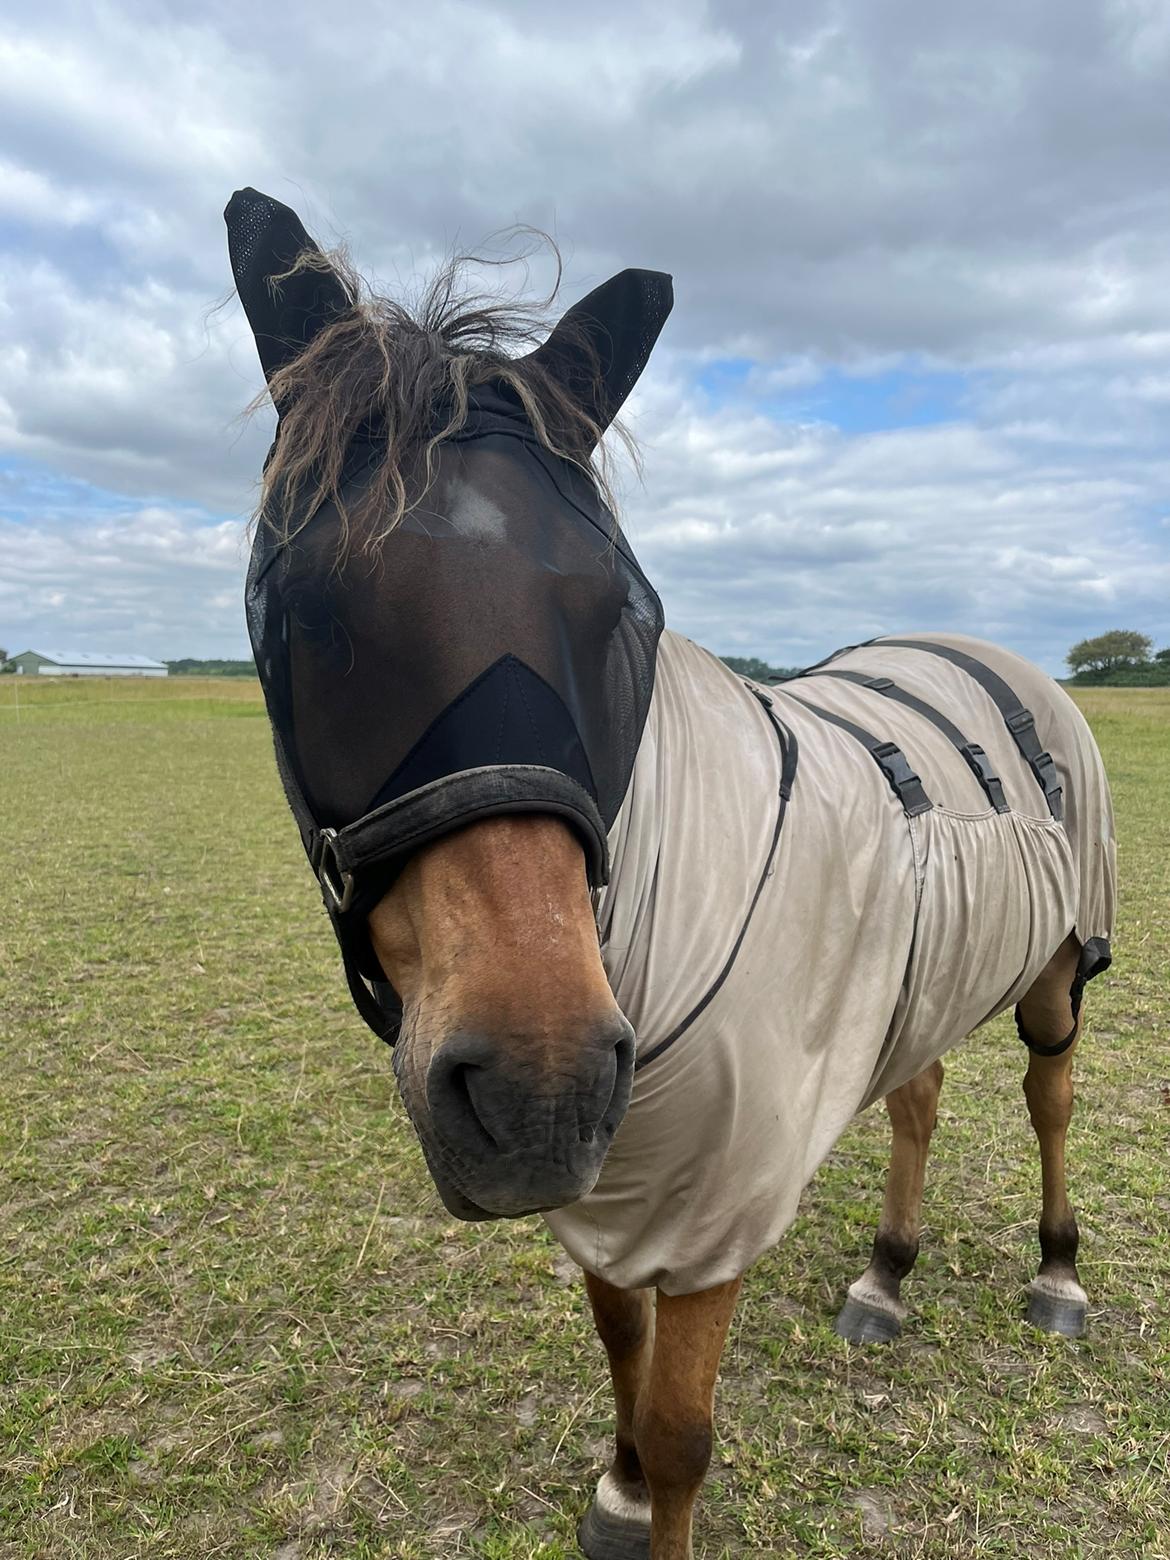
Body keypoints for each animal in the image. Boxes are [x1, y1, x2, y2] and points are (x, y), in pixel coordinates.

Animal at [226, 191, 1116, 1560]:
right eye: (302, 613)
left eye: (629, 616)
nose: (534, 1083)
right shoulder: (615, 1177)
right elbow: (619, 1350)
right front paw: (621, 1486)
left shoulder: (716, 1200)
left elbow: (687, 1428)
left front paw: (658, 1485)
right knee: (918, 1095)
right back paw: (886, 1273)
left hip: (1060, 968)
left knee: (1050, 1097)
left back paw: (1056, 1272)